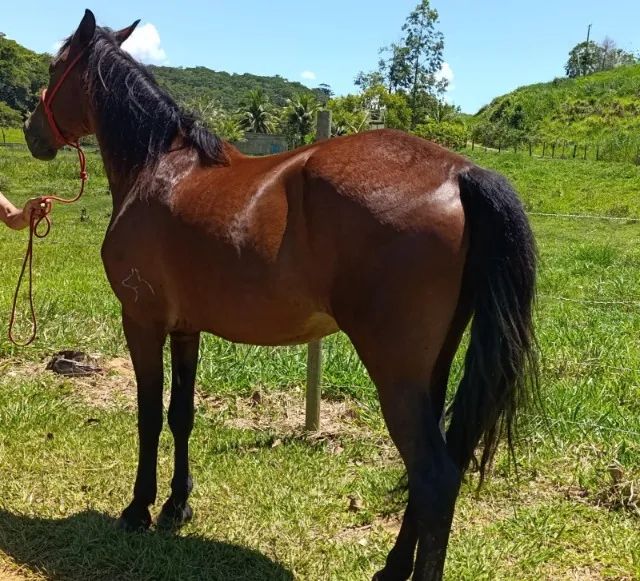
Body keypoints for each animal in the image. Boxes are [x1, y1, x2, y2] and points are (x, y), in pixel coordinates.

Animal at [24, 10, 538, 580]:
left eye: (56, 67)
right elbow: (182, 414)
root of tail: (461, 173)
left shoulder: (141, 321)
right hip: (433, 368)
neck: (160, 168)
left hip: (395, 373)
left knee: (434, 475)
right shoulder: (186, 328)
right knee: (435, 470)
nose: (30, 131)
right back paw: (391, 566)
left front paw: (138, 510)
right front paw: (177, 506)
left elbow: (149, 415)